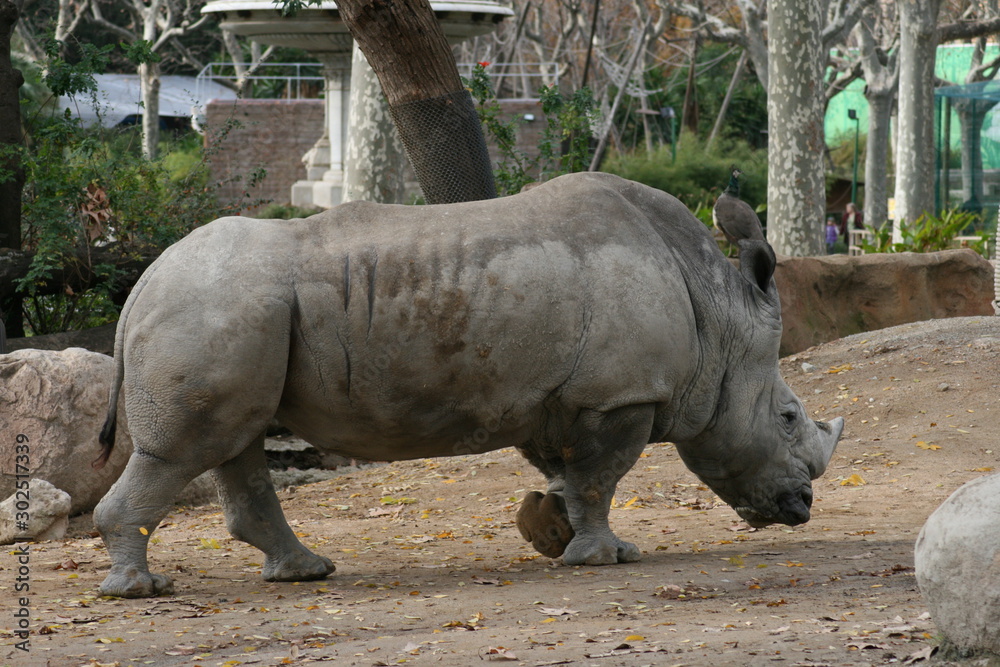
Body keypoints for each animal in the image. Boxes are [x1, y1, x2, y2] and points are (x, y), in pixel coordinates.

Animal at [93, 172, 843, 598]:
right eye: (787, 416)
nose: (802, 507)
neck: (718, 315)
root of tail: (140, 285)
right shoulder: (619, 395)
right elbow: (601, 476)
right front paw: (602, 558)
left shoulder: (562, 397)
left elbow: (570, 473)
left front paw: (552, 532)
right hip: (213, 307)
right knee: (189, 448)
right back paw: (139, 590)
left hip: (232, 313)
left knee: (233, 443)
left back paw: (306, 571)